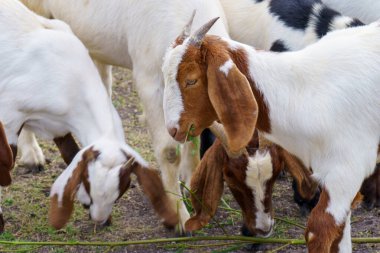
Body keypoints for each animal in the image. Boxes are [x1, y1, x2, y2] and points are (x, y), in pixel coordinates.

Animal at [0, 0, 177, 231]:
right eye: (88, 185)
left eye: (121, 191)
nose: (100, 220)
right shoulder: (9, 117)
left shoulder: (59, 125)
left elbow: (70, 154)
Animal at [19, 0, 229, 231]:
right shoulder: (150, 81)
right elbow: (169, 152)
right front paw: (180, 217)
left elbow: (192, 141)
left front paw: (196, 196)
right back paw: (32, 156)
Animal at [162, 16, 380, 252]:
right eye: (230, 177)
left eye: (191, 80)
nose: (173, 129)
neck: (303, 91)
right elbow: (340, 236)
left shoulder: (346, 170)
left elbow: (318, 230)